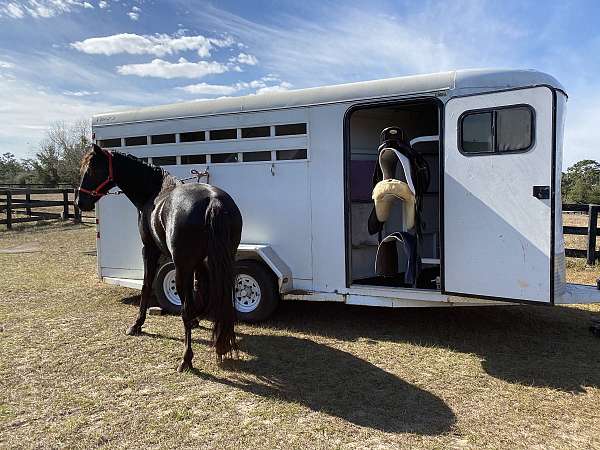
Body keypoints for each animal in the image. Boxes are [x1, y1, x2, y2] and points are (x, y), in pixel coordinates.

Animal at [76, 145, 243, 372]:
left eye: (93, 169)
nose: (80, 202)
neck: (153, 193)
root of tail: (213, 201)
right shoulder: (200, 263)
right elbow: (200, 290)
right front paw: (197, 321)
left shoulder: (150, 250)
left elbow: (147, 285)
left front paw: (137, 324)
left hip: (182, 267)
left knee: (185, 307)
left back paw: (186, 358)